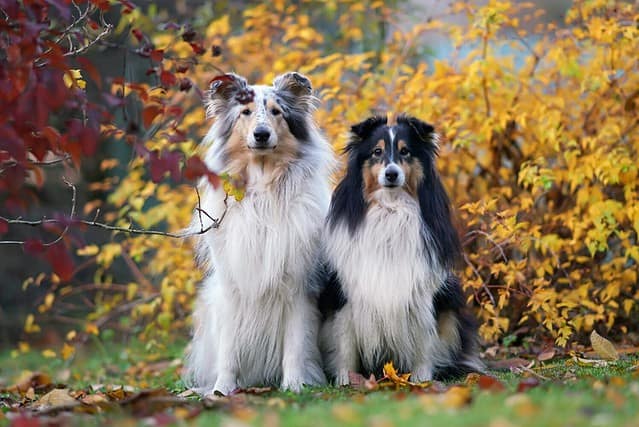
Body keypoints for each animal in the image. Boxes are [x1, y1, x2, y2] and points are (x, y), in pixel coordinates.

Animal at [184, 72, 336, 396]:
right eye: (246, 112)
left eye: (277, 111)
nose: (262, 134)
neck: (263, 190)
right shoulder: (232, 283)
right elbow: (229, 347)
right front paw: (222, 389)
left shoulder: (298, 285)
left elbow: (295, 343)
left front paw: (295, 385)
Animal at [320, 113, 484, 384]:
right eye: (377, 152)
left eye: (405, 151)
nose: (391, 174)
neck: (391, 208)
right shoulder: (346, 293)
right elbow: (345, 344)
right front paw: (346, 380)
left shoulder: (421, 291)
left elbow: (424, 340)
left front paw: (421, 379)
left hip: (450, 300)